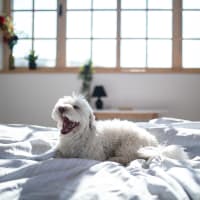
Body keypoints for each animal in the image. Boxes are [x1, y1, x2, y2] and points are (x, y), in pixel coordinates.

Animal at [51, 94, 188, 165]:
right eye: (62, 104)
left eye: (76, 107)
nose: (61, 108)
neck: (77, 136)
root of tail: (155, 144)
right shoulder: (61, 151)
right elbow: (57, 155)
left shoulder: (93, 156)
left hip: (127, 144)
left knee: (131, 157)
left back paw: (114, 159)